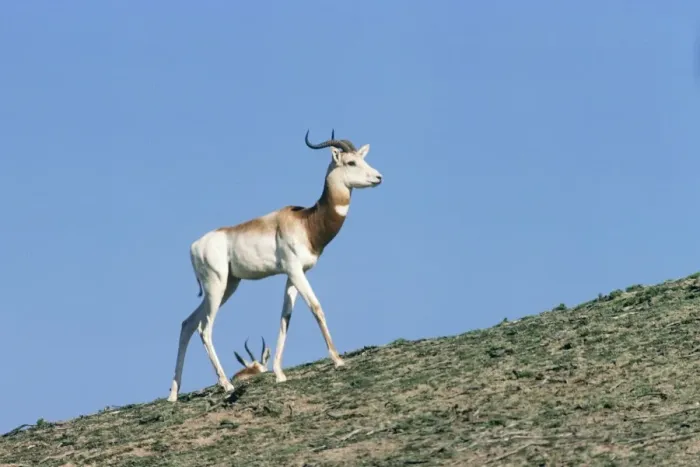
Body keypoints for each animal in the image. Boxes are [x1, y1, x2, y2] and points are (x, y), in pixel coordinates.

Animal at [167, 130, 383, 402]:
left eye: (363, 158)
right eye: (351, 162)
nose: (378, 177)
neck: (307, 222)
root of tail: (195, 246)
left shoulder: (293, 274)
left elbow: (285, 317)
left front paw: (279, 373)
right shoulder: (295, 270)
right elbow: (316, 307)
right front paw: (337, 360)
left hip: (228, 286)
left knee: (187, 324)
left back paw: (173, 394)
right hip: (216, 286)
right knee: (204, 329)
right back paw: (226, 385)